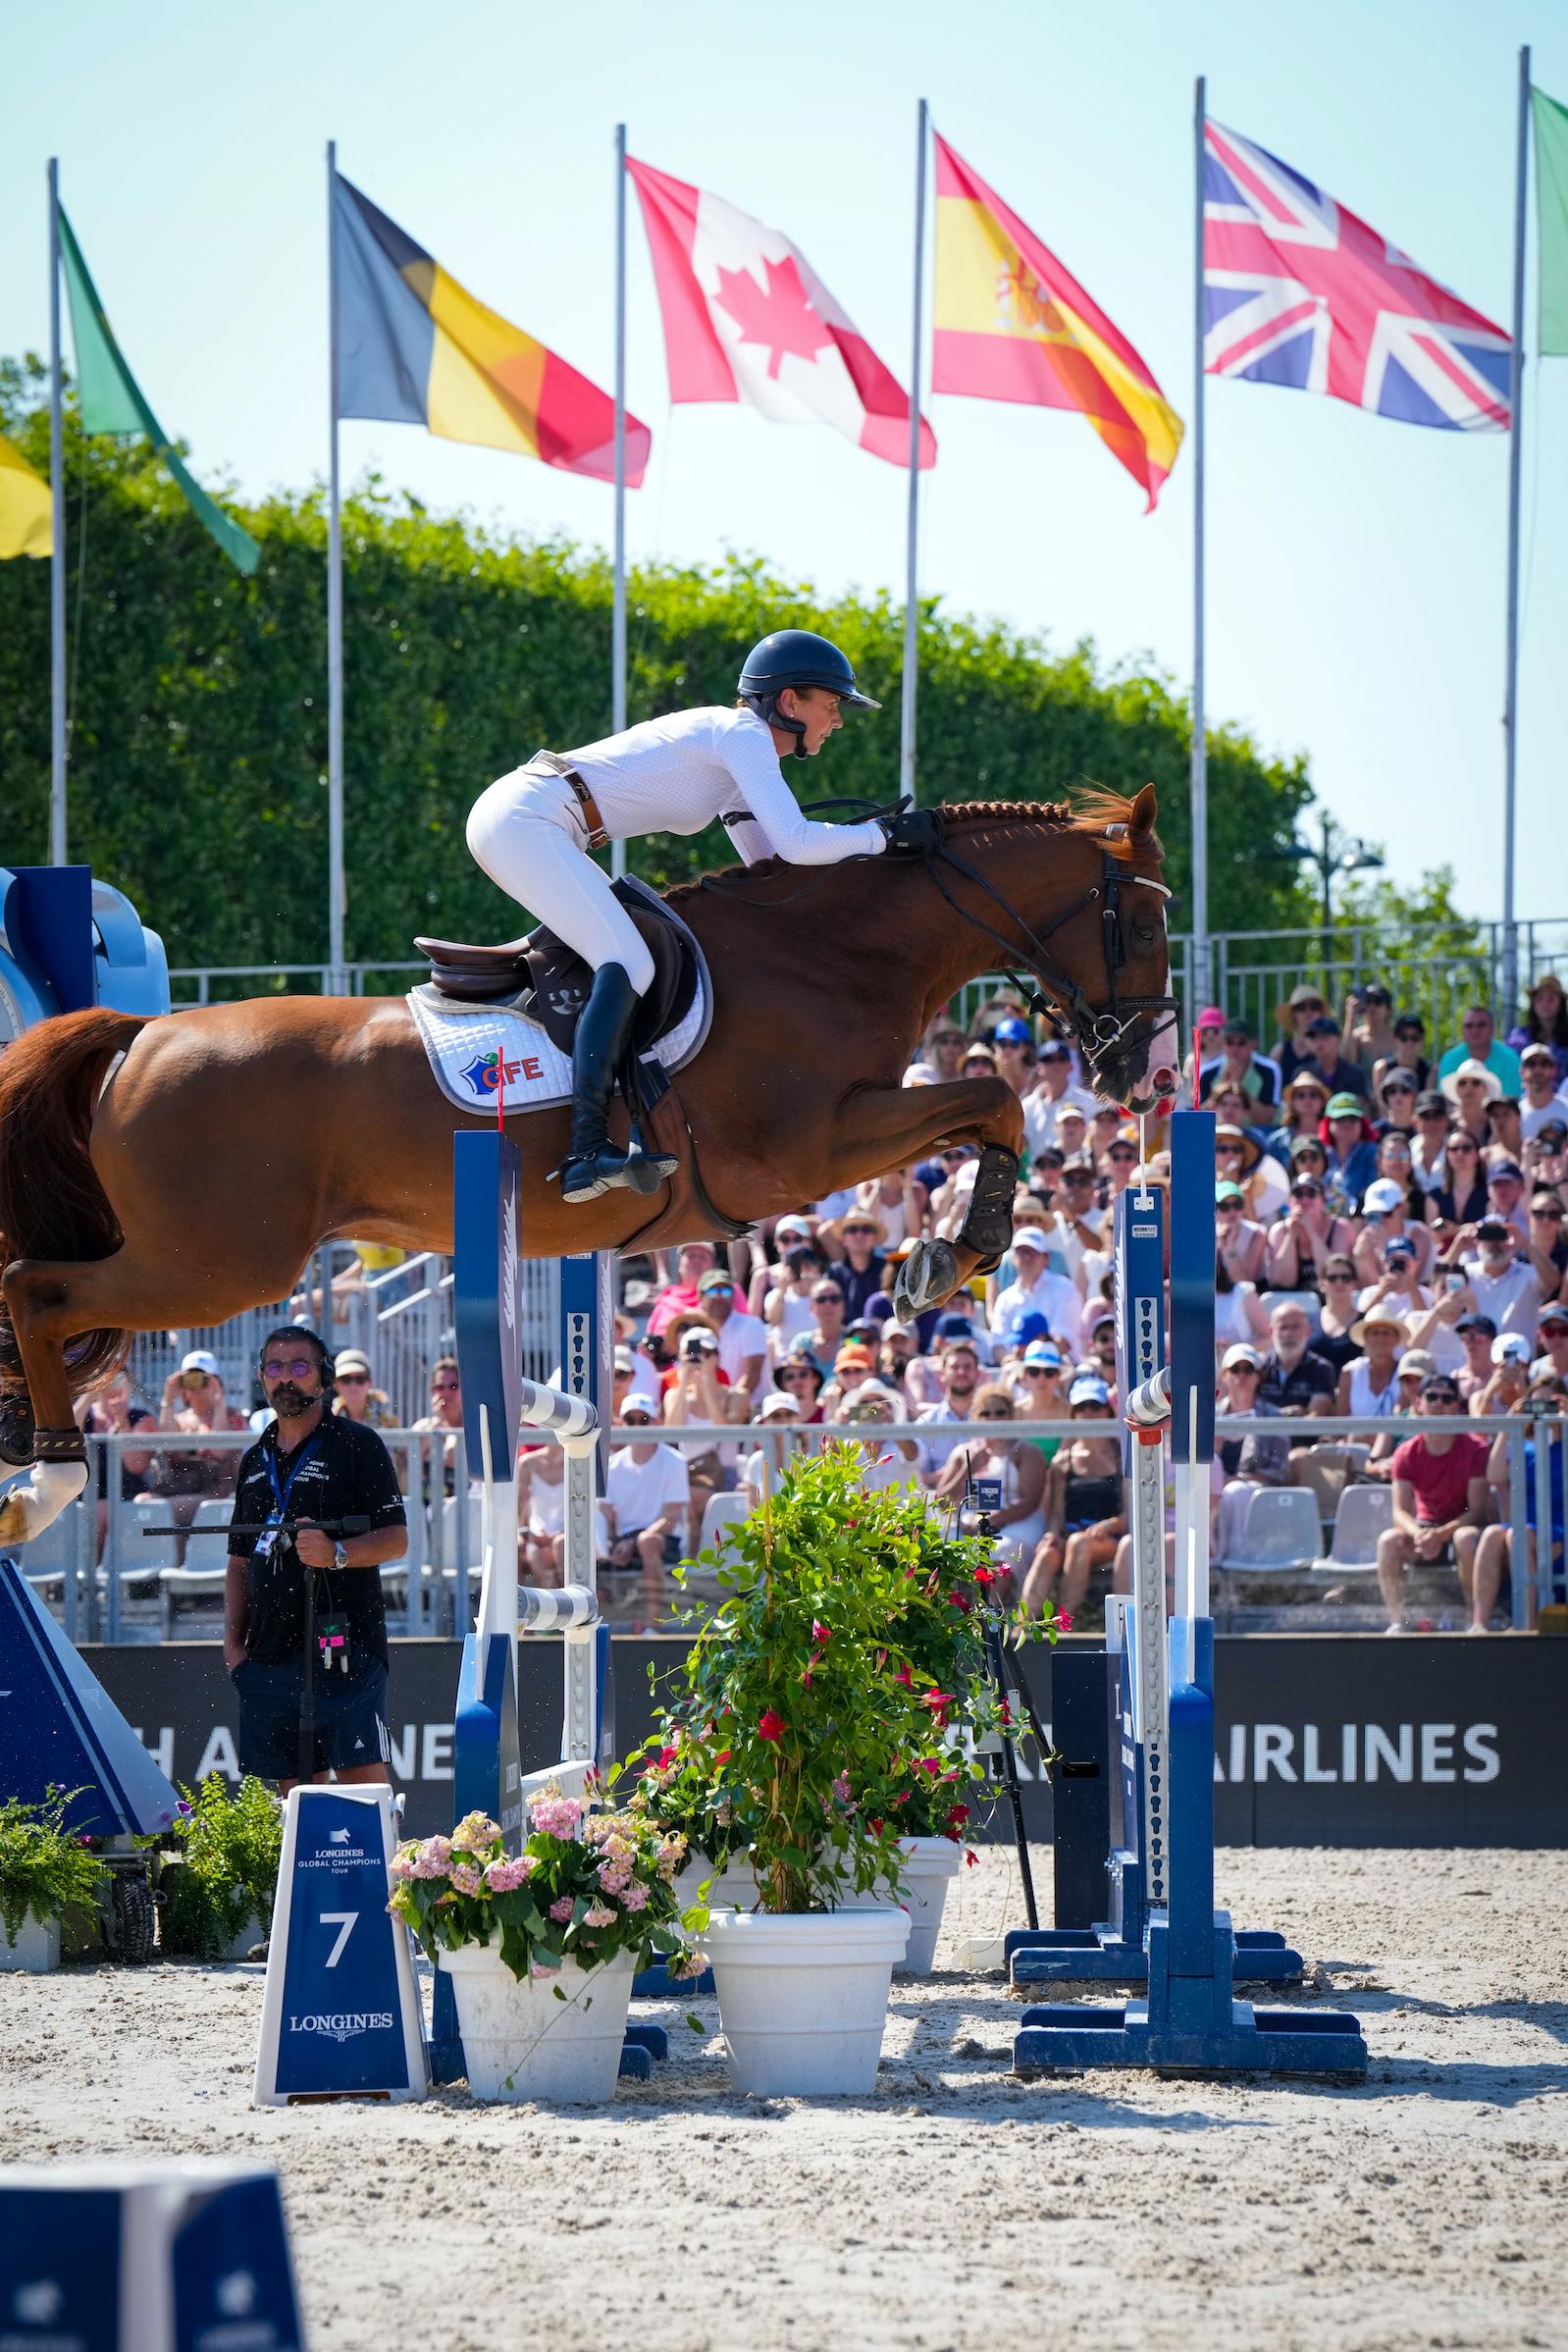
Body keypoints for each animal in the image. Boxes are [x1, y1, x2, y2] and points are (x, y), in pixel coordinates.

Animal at [0, 795, 1175, 1542]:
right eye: (1147, 918)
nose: (1149, 1075)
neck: (828, 957)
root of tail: (140, 1036)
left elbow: (987, 1106)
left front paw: (942, 1254)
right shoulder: (804, 1151)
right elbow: (991, 1098)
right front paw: (953, 1252)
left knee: (41, 1293)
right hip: (214, 1263)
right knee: (37, 1289)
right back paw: (46, 1475)